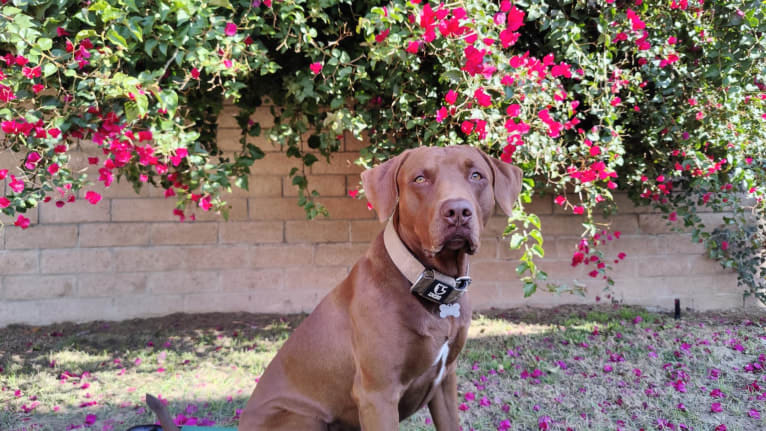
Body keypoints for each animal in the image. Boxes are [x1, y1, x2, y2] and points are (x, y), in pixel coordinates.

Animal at [148, 147, 524, 430]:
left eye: (476, 175)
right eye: (420, 178)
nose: (458, 210)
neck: (429, 281)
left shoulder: (445, 383)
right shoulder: (377, 395)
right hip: (302, 419)